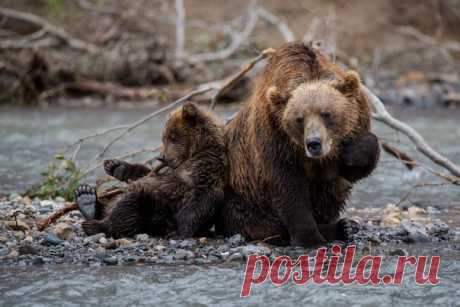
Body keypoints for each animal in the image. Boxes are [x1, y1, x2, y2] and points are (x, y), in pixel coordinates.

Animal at [217, 41, 380, 248]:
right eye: (299, 119)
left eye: (326, 113)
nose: (314, 143)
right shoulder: (275, 136)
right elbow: (288, 186)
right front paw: (309, 238)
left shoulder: (358, 115)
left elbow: (351, 171)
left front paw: (355, 150)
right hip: (242, 193)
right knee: (254, 221)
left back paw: (346, 226)